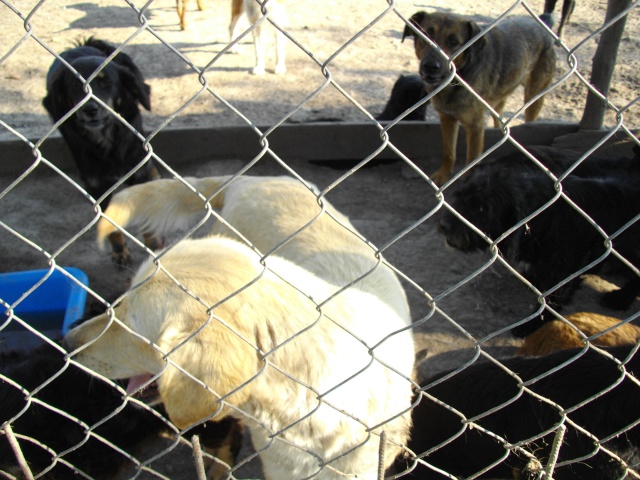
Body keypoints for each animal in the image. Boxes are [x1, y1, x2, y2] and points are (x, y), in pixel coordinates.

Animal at [42, 37, 159, 202]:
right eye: (74, 84)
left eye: (107, 82)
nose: (90, 109)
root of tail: (82, 45)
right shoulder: (96, 185)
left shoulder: (140, 170)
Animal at [404, 12, 556, 186]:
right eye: (426, 35)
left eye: (454, 42)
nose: (430, 67)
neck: (457, 80)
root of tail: (541, 22)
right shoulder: (447, 118)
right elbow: (448, 151)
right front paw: (444, 175)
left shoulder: (475, 127)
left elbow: (472, 159)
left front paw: (471, 181)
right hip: (499, 97)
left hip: (534, 96)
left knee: (530, 120)